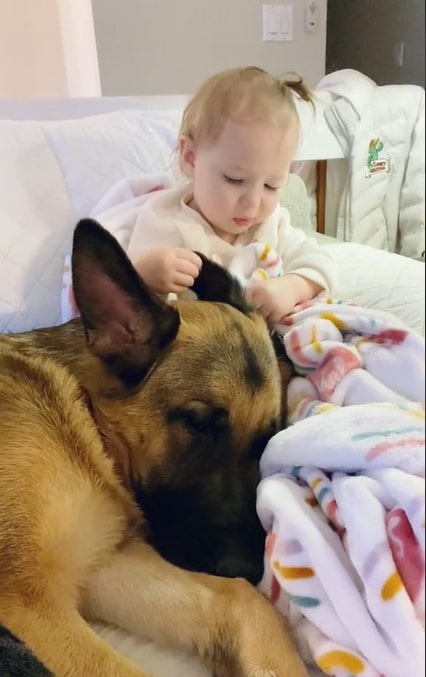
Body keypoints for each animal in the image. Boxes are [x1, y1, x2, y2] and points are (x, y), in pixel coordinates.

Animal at [0, 219, 306, 672]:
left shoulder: (100, 565)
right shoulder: (30, 599)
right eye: (197, 423)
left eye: (266, 439)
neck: (85, 418)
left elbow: (241, 599)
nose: (250, 568)